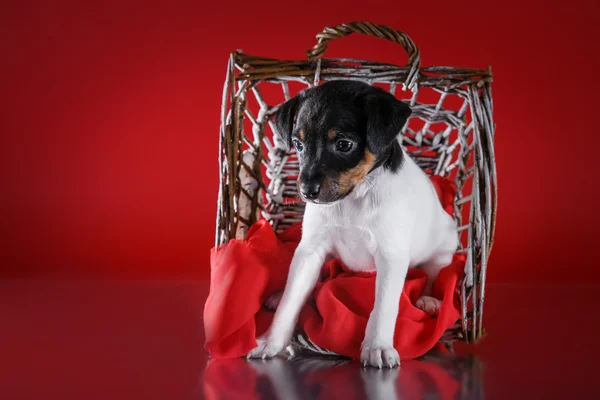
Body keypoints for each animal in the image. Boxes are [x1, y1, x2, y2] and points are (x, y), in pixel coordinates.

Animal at [248, 80, 460, 368]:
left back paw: (429, 300)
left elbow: (384, 307)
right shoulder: (309, 251)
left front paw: (378, 347)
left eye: (344, 144)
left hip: (444, 248)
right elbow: (291, 302)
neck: (353, 199)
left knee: (433, 274)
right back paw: (279, 294)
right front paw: (271, 342)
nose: (306, 191)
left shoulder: (391, 256)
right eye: (298, 144)